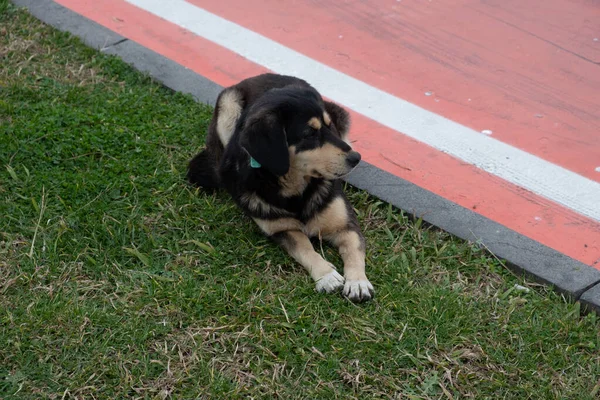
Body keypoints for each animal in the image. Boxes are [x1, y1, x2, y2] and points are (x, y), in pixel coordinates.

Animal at [189, 73, 376, 302]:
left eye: (328, 127)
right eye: (309, 133)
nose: (356, 158)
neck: (296, 191)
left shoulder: (346, 225)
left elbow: (354, 249)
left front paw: (358, 282)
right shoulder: (282, 229)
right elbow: (304, 247)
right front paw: (326, 275)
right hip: (228, 104)